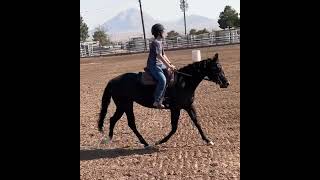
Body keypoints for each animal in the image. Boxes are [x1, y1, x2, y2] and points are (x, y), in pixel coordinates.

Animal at [98, 52, 230, 147]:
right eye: (217, 68)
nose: (227, 83)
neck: (184, 82)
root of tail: (113, 81)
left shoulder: (188, 106)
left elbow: (197, 122)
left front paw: (208, 140)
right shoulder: (175, 108)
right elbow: (174, 127)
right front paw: (160, 142)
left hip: (123, 106)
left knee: (113, 120)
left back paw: (109, 139)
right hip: (125, 105)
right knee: (130, 123)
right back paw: (145, 143)